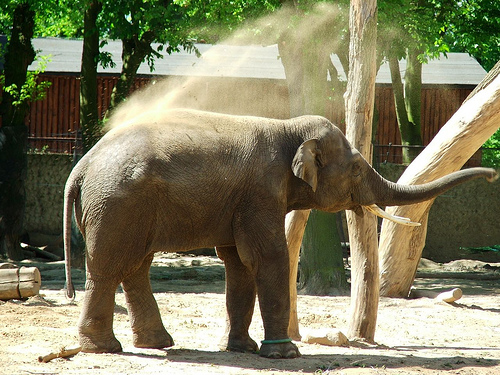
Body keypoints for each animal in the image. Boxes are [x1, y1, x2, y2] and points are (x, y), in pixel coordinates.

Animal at [64, 107, 498, 360]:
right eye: (357, 169)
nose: (493, 176)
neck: (288, 128)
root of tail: (80, 168)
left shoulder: (241, 199)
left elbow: (238, 263)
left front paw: (243, 349)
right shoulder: (260, 190)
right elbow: (268, 256)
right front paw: (285, 354)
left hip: (125, 209)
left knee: (135, 265)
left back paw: (157, 344)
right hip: (117, 206)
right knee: (110, 267)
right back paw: (106, 349)